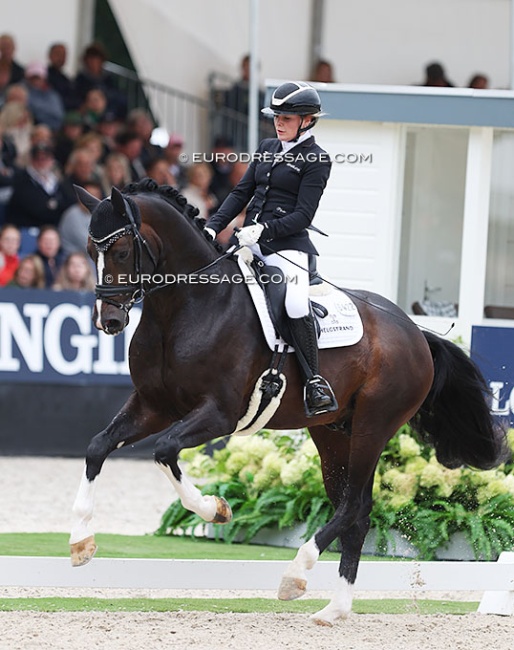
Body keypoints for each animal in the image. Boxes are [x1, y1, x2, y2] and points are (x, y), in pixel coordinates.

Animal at [70, 181, 506, 624]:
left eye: (122, 251)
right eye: (90, 250)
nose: (109, 321)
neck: (186, 306)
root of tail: (415, 331)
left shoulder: (219, 415)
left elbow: (164, 450)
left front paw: (216, 510)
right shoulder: (153, 406)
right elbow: (97, 447)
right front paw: (81, 542)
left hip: (374, 425)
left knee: (353, 506)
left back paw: (296, 573)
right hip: (333, 433)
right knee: (357, 513)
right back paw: (334, 609)